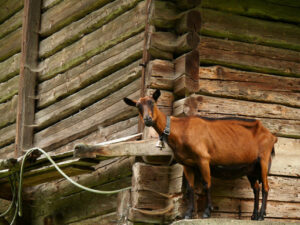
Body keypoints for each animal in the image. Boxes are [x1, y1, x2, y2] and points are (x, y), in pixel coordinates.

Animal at [123, 89, 276, 220]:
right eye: (138, 106)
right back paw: (254, 216)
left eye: (152, 102)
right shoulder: (187, 164)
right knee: (256, 188)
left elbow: (206, 184)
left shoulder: (203, 158)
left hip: (264, 158)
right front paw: (188, 214)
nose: (148, 119)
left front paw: (207, 212)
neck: (181, 129)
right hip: (251, 167)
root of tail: (271, 136)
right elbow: (190, 188)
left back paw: (261, 216)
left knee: (265, 187)